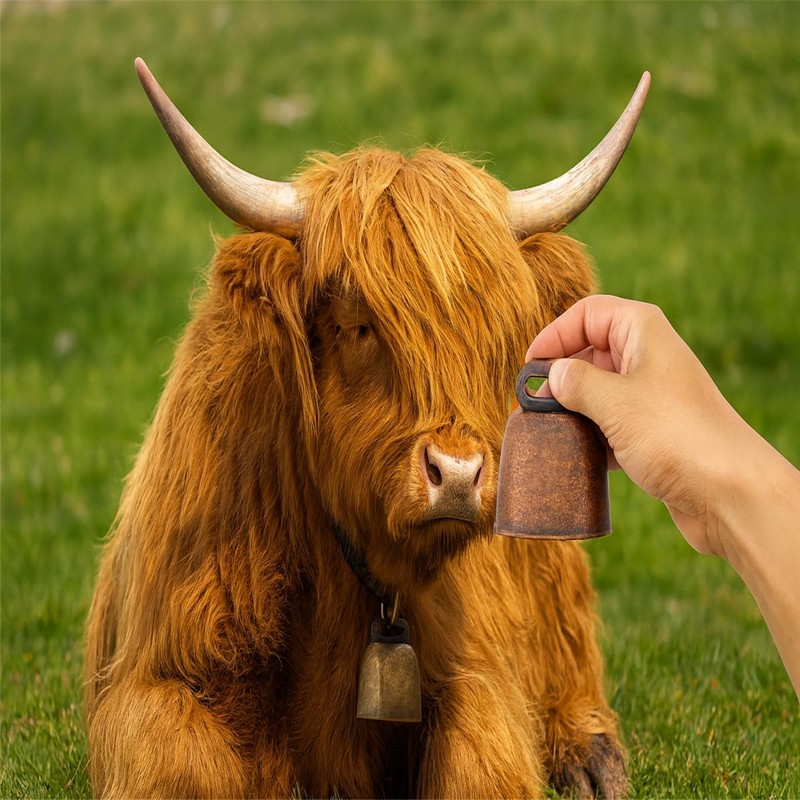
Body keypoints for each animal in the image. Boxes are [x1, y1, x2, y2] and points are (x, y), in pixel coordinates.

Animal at [84, 58, 649, 799]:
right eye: (356, 324)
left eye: (498, 335)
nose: (458, 476)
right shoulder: (161, 676)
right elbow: (180, 760)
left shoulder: (476, 675)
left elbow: (480, 755)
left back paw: (590, 757)